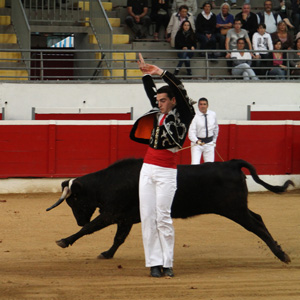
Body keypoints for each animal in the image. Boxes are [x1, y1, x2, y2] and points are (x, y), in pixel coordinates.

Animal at [46, 158, 292, 264]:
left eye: (74, 200)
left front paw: (64, 240)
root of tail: (231, 163)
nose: (78, 220)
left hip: (234, 209)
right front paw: (107, 254)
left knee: (257, 225)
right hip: (238, 208)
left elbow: (90, 228)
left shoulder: (111, 214)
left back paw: (282, 255)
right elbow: (118, 238)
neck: (109, 181)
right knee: (259, 219)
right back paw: (280, 251)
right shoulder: (125, 218)